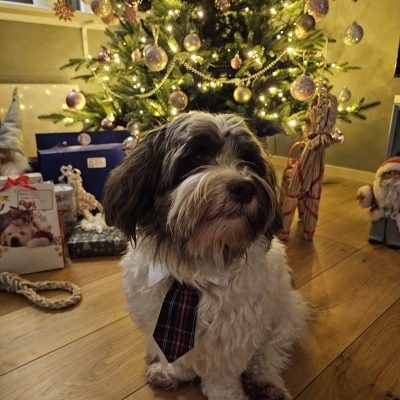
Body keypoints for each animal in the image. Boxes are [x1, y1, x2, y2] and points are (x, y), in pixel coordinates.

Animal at [103, 112, 307, 400]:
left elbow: (222, 376)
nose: (244, 187)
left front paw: (226, 395)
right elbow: (175, 355)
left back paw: (265, 382)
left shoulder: (233, 337)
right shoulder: (156, 317)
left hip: (286, 314)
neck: (193, 268)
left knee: (268, 354)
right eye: (197, 157)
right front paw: (171, 372)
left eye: (249, 161)